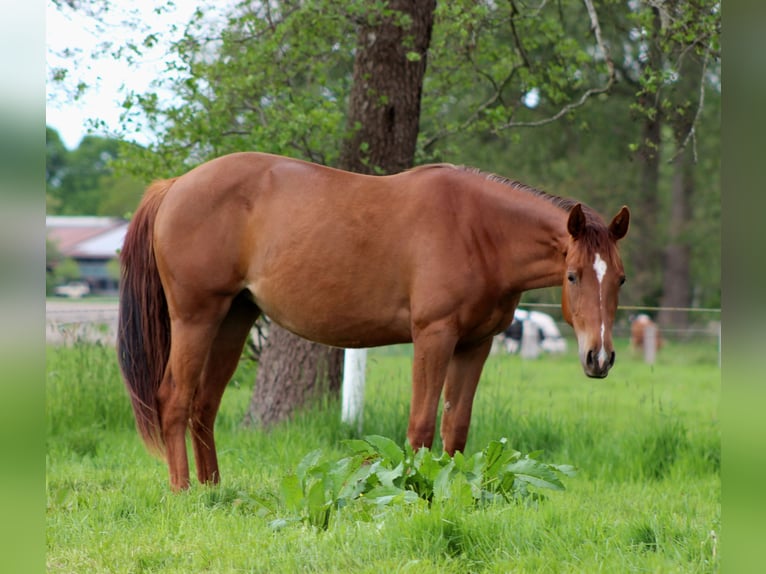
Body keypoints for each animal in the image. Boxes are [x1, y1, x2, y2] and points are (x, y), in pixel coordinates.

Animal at [117, 151, 630, 491]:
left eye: (620, 278)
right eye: (573, 275)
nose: (599, 357)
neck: (478, 229)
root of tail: (175, 185)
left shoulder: (476, 344)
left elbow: (456, 428)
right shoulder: (434, 337)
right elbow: (420, 427)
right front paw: (416, 491)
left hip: (234, 318)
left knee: (204, 405)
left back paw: (214, 490)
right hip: (196, 317)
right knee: (175, 400)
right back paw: (184, 492)